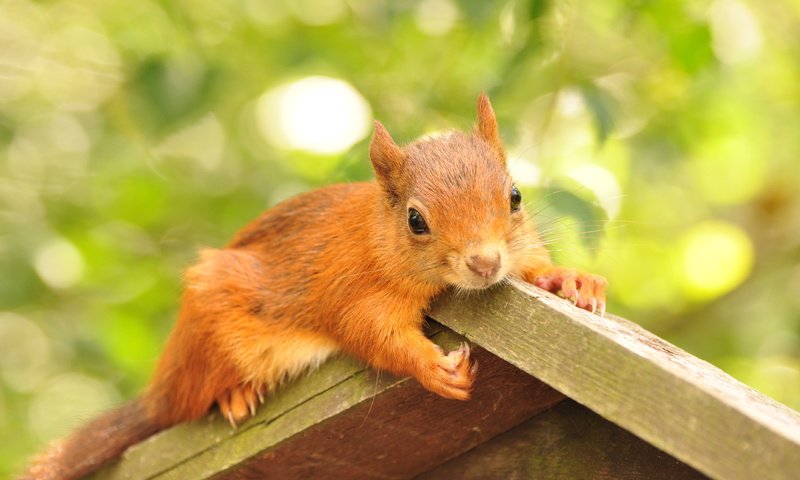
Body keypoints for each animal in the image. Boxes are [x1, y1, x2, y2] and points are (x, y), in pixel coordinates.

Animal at [21, 94, 608, 480]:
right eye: (416, 221)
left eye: (515, 196)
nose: (485, 263)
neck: (379, 238)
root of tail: (161, 388)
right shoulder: (356, 290)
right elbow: (371, 334)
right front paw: (432, 367)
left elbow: (533, 269)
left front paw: (573, 279)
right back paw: (234, 395)